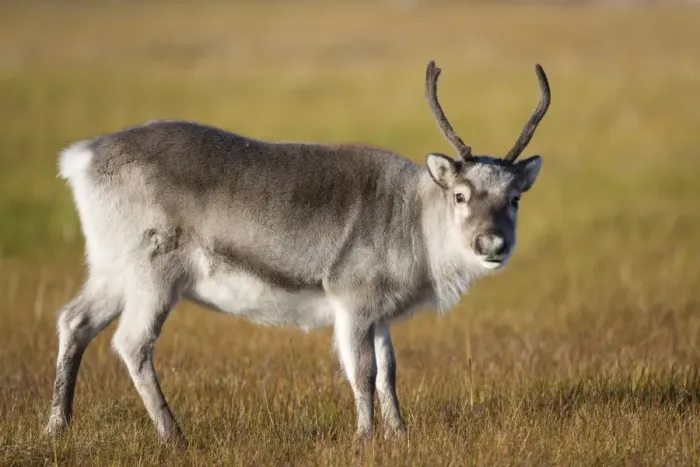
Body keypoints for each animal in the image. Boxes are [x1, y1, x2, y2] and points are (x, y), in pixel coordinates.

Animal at [44, 60, 550, 443]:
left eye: (514, 198)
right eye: (461, 195)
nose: (492, 244)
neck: (415, 220)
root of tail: (81, 157)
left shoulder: (380, 312)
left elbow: (389, 371)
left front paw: (400, 434)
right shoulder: (352, 301)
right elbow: (362, 372)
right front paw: (365, 438)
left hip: (111, 270)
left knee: (74, 321)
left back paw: (56, 427)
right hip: (154, 274)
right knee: (132, 343)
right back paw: (174, 435)